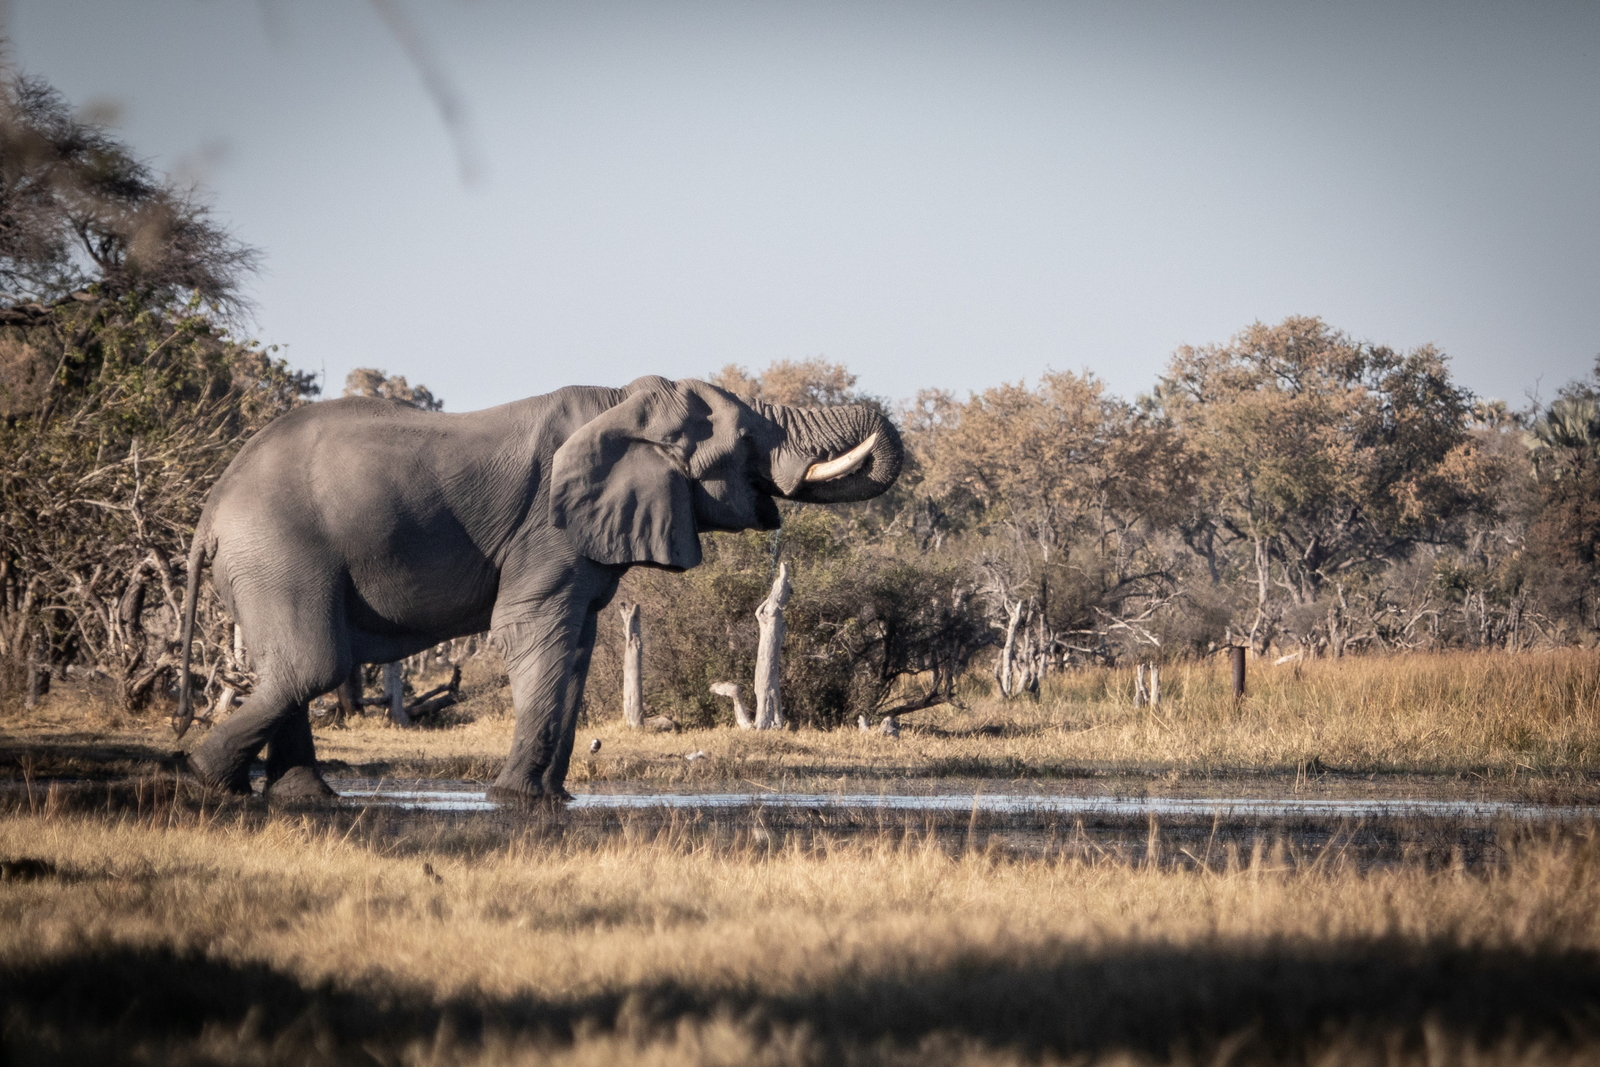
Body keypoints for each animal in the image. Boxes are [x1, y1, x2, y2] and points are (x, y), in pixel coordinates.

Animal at [173, 374, 902, 802]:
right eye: (747, 436)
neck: (620, 401)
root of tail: (210, 507)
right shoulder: (547, 527)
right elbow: (533, 629)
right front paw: (517, 799)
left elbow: (576, 644)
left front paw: (552, 800)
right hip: (280, 550)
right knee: (314, 664)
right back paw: (207, 780)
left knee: (291, 667)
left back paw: (298, 798)